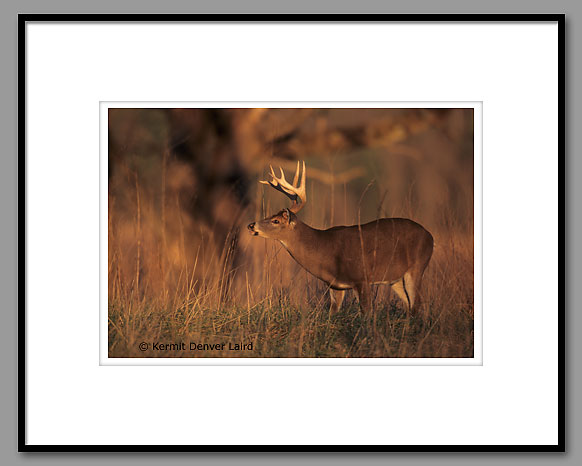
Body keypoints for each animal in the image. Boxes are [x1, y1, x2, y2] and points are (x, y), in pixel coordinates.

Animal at [246, 162, 434, 314]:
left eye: (275, 221)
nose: (251, 225)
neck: (325, 250)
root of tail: (430, 237)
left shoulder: (361, 277)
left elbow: (367, 313)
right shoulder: (335, 284)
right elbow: (332, 313)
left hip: (417, 267)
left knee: (416, 304)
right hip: (396, 279)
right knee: (410, 305)